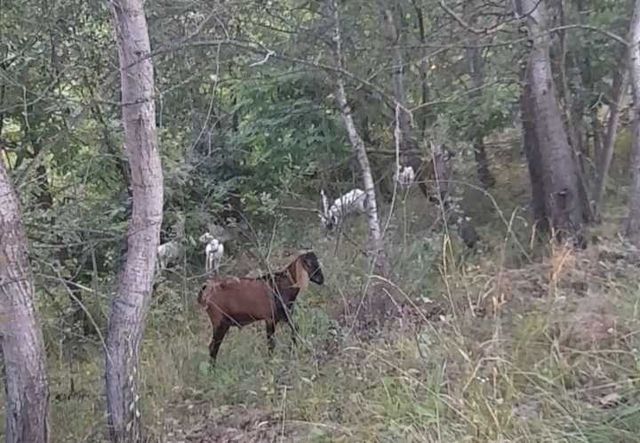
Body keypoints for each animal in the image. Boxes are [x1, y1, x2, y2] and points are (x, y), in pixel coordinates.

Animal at [196, 251, 324, 362]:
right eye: (308, 263)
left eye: (317, 261)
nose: (321, 279)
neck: (282, 285)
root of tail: (206, 291)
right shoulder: (270, 319)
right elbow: (271, 343)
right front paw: (271, 361)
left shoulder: (284, 315)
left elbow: (295, 329)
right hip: (219, 322)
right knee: (213, 347)